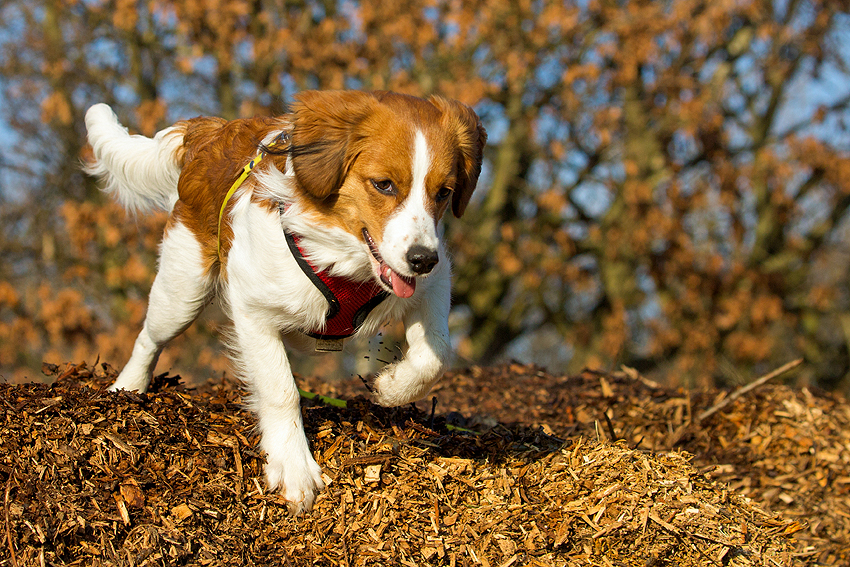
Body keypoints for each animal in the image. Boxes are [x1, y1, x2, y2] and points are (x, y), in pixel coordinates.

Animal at [86, 91, 486, 512]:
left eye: (443, 192)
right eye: (384, 185)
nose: (422, 259)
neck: (343, 254)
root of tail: (213, 133)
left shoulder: (434, 282)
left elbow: (434, 354)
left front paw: (392, 388)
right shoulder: (253, 311)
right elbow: (281, 389)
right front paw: (293, 466)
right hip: (184, 290)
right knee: (149, 337)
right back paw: (127, 388)